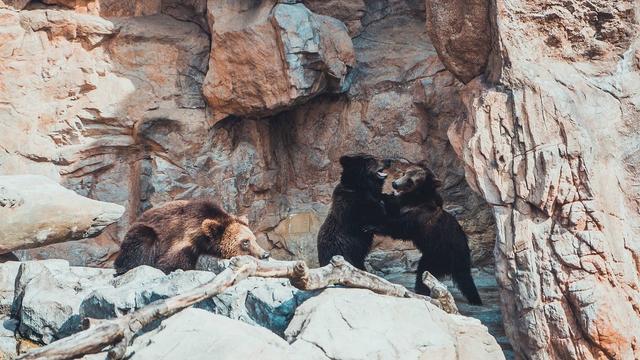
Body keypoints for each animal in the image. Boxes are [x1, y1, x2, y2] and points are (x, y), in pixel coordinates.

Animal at [114, 200, 268, 276]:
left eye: (254, 239)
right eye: (245, 242)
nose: (265, 254)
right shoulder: (181, 240)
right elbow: (170, 263)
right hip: (145, 231)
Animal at [372, 162, 482, 306]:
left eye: (410, 181)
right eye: (404, 173)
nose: (394, 183)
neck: (417, 198)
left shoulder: (420, 217)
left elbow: (400, 228)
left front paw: (373, 225)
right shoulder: (404, 205)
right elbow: (393, 206)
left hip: (437, 254)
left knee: (423, 271)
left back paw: (420, 291)